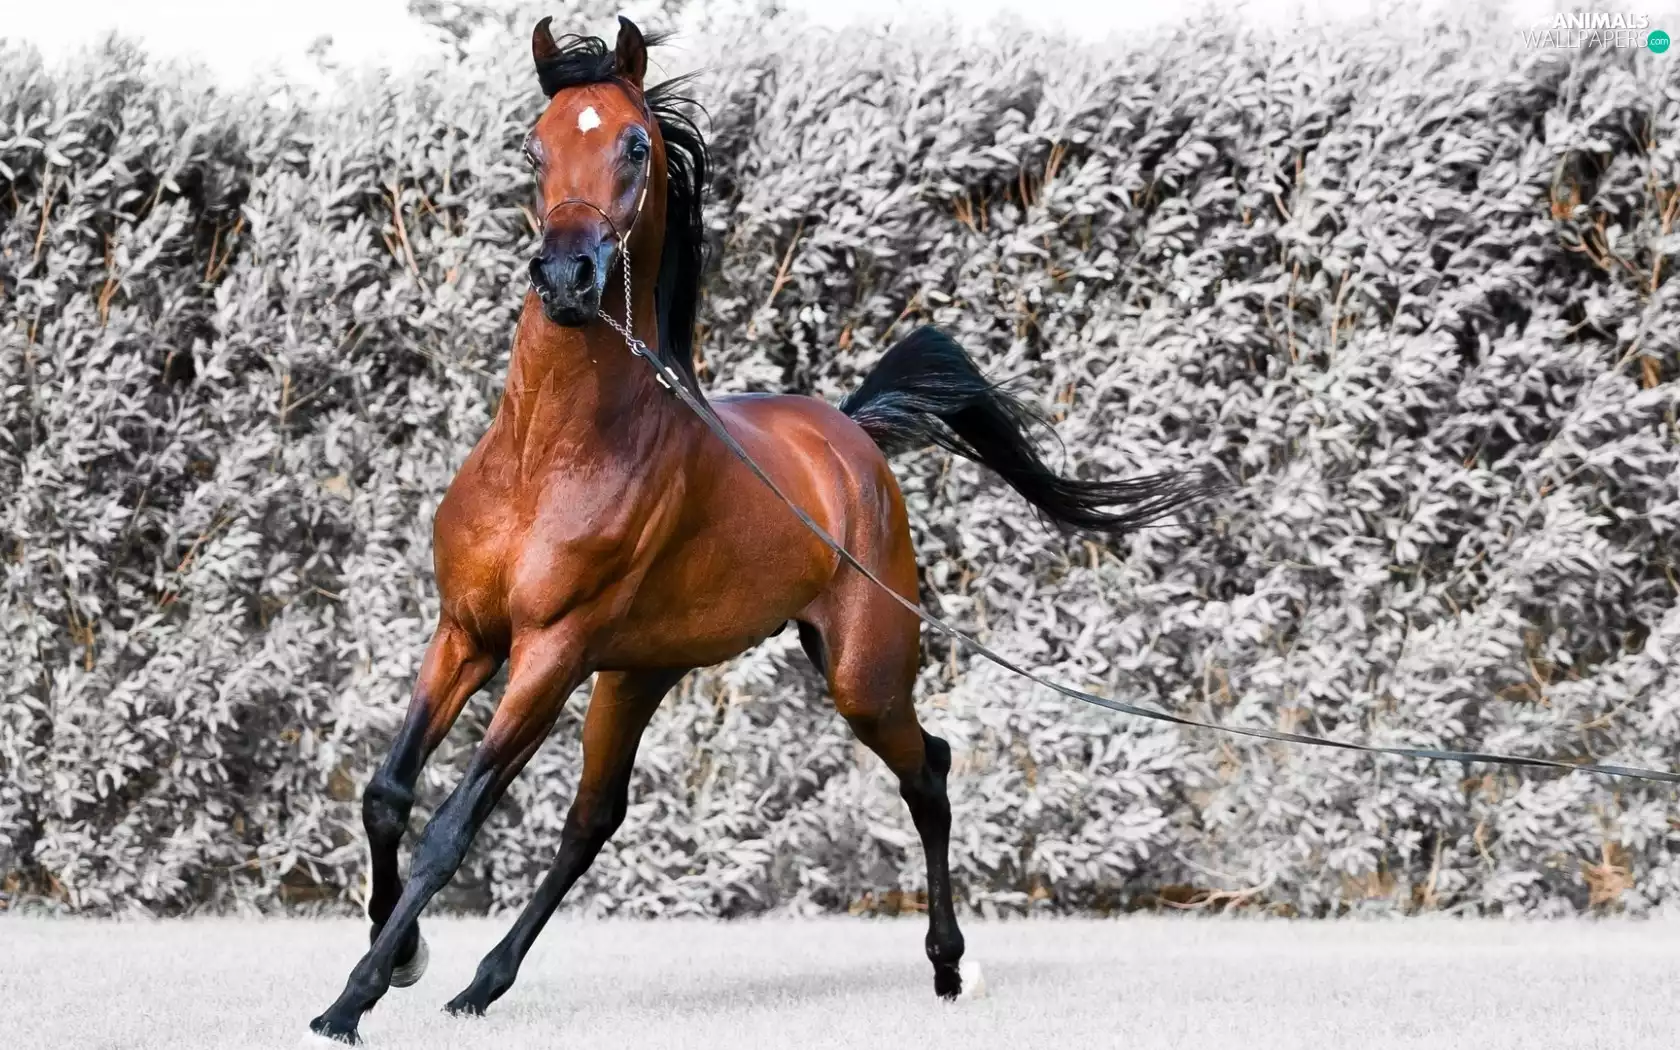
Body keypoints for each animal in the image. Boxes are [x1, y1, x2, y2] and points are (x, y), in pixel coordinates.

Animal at [308, 16, 1203, 1043]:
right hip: (637, 674)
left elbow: (451, 829)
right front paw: (404, 956)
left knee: (928, 772)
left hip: (859, 673)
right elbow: (387, 794)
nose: (568, 277)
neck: (546, 457)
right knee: (594, 819)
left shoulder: (547, 652)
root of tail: (852, 434)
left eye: (635, 145)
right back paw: (480, 985)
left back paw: (948, 967)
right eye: (533, 145)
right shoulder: (465, 632)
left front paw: (352, 998)